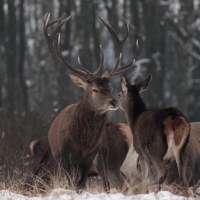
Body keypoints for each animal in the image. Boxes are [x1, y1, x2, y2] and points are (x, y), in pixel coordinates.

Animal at [41, 13, 138, 191]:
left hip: (108, 160)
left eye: (111, 88)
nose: (113, 102)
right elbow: (73, 184)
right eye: (95, 89)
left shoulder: (91, 157)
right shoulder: (64, 157)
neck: (81, 143)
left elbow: (81, 184)